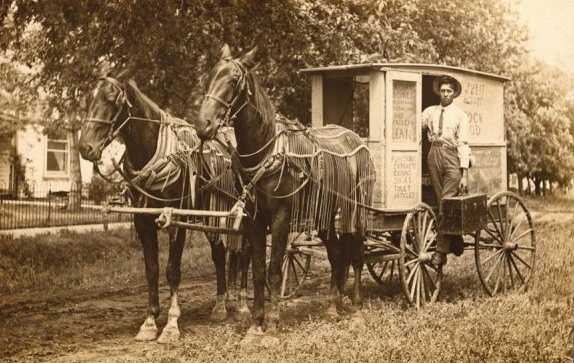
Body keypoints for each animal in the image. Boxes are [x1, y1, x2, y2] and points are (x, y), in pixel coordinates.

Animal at [79, 70, 252, 344]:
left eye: (112, 100)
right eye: (89, 99)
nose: (85, 147)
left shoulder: (176, 222)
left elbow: (172, 271)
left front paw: (171, 324)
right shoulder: (143, 222)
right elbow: (152, 269)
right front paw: (150, 321)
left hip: (245, 216)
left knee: (244, 254)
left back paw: (243, 305)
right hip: (211, 218)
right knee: (219, 255)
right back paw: (221, 305)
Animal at [195, 45, 378, 344]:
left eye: (234, 80)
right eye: (210, 76)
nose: (204, 125)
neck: (265, 152)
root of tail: (356, 139)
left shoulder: (281, 217)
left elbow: (274, 268)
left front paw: (272, 324)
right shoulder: (253, 220)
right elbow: (258, 270)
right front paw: (255, 324)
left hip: (355, 211)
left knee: (357, 254)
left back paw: (357, 309)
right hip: (324, 215)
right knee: (337, 254)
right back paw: (333, 305)